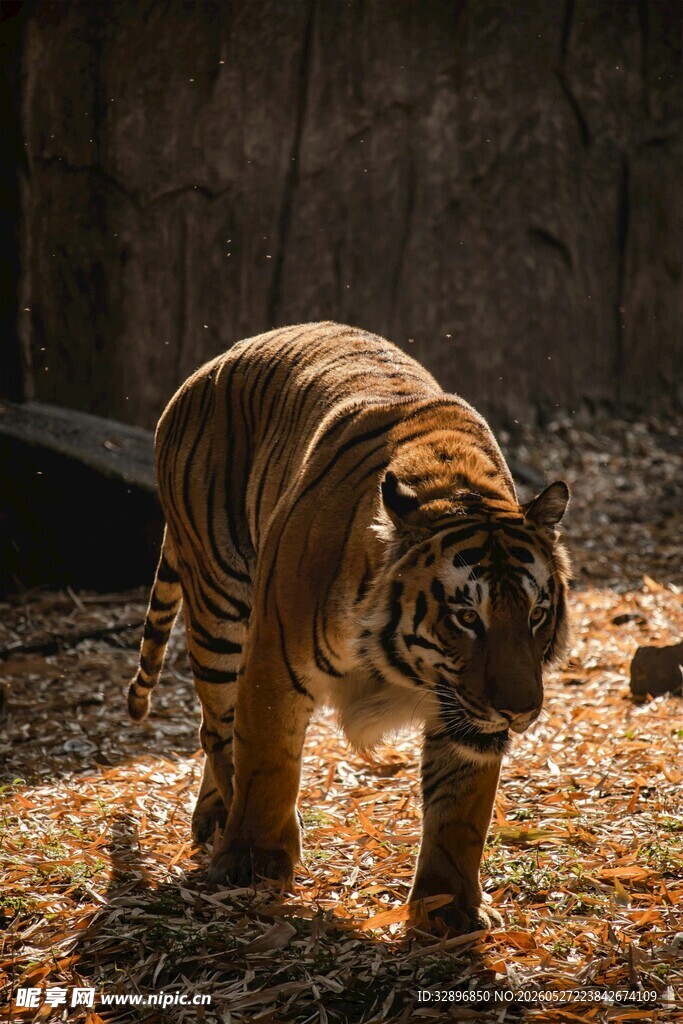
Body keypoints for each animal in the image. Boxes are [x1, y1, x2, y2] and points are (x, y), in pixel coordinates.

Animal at [128, 321, 571, 934]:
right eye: (466, 618)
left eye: (535, 616)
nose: (519, 712)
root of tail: (209, 365)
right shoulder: (272, 661)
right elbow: (267, 760)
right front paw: (253, 862)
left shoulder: (463, 711)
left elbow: (460, 810)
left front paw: (449, 908)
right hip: (220, 605)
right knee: (217, 731)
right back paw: (229, 824)